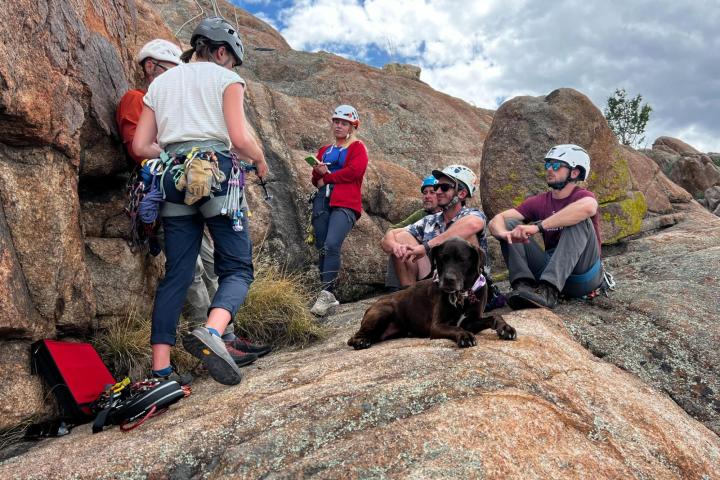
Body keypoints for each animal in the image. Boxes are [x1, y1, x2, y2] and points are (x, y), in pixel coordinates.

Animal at [348, 236, 516, 348]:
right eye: (442, 258)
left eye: (462, 259)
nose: (448, 280)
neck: (461, 295)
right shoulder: (437, 326)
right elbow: (456, 328)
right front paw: (464, 336)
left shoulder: (471, 321)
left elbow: (495, 316)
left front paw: (505, 328)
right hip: (384, 310)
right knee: (354, 337)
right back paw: (361, 341)